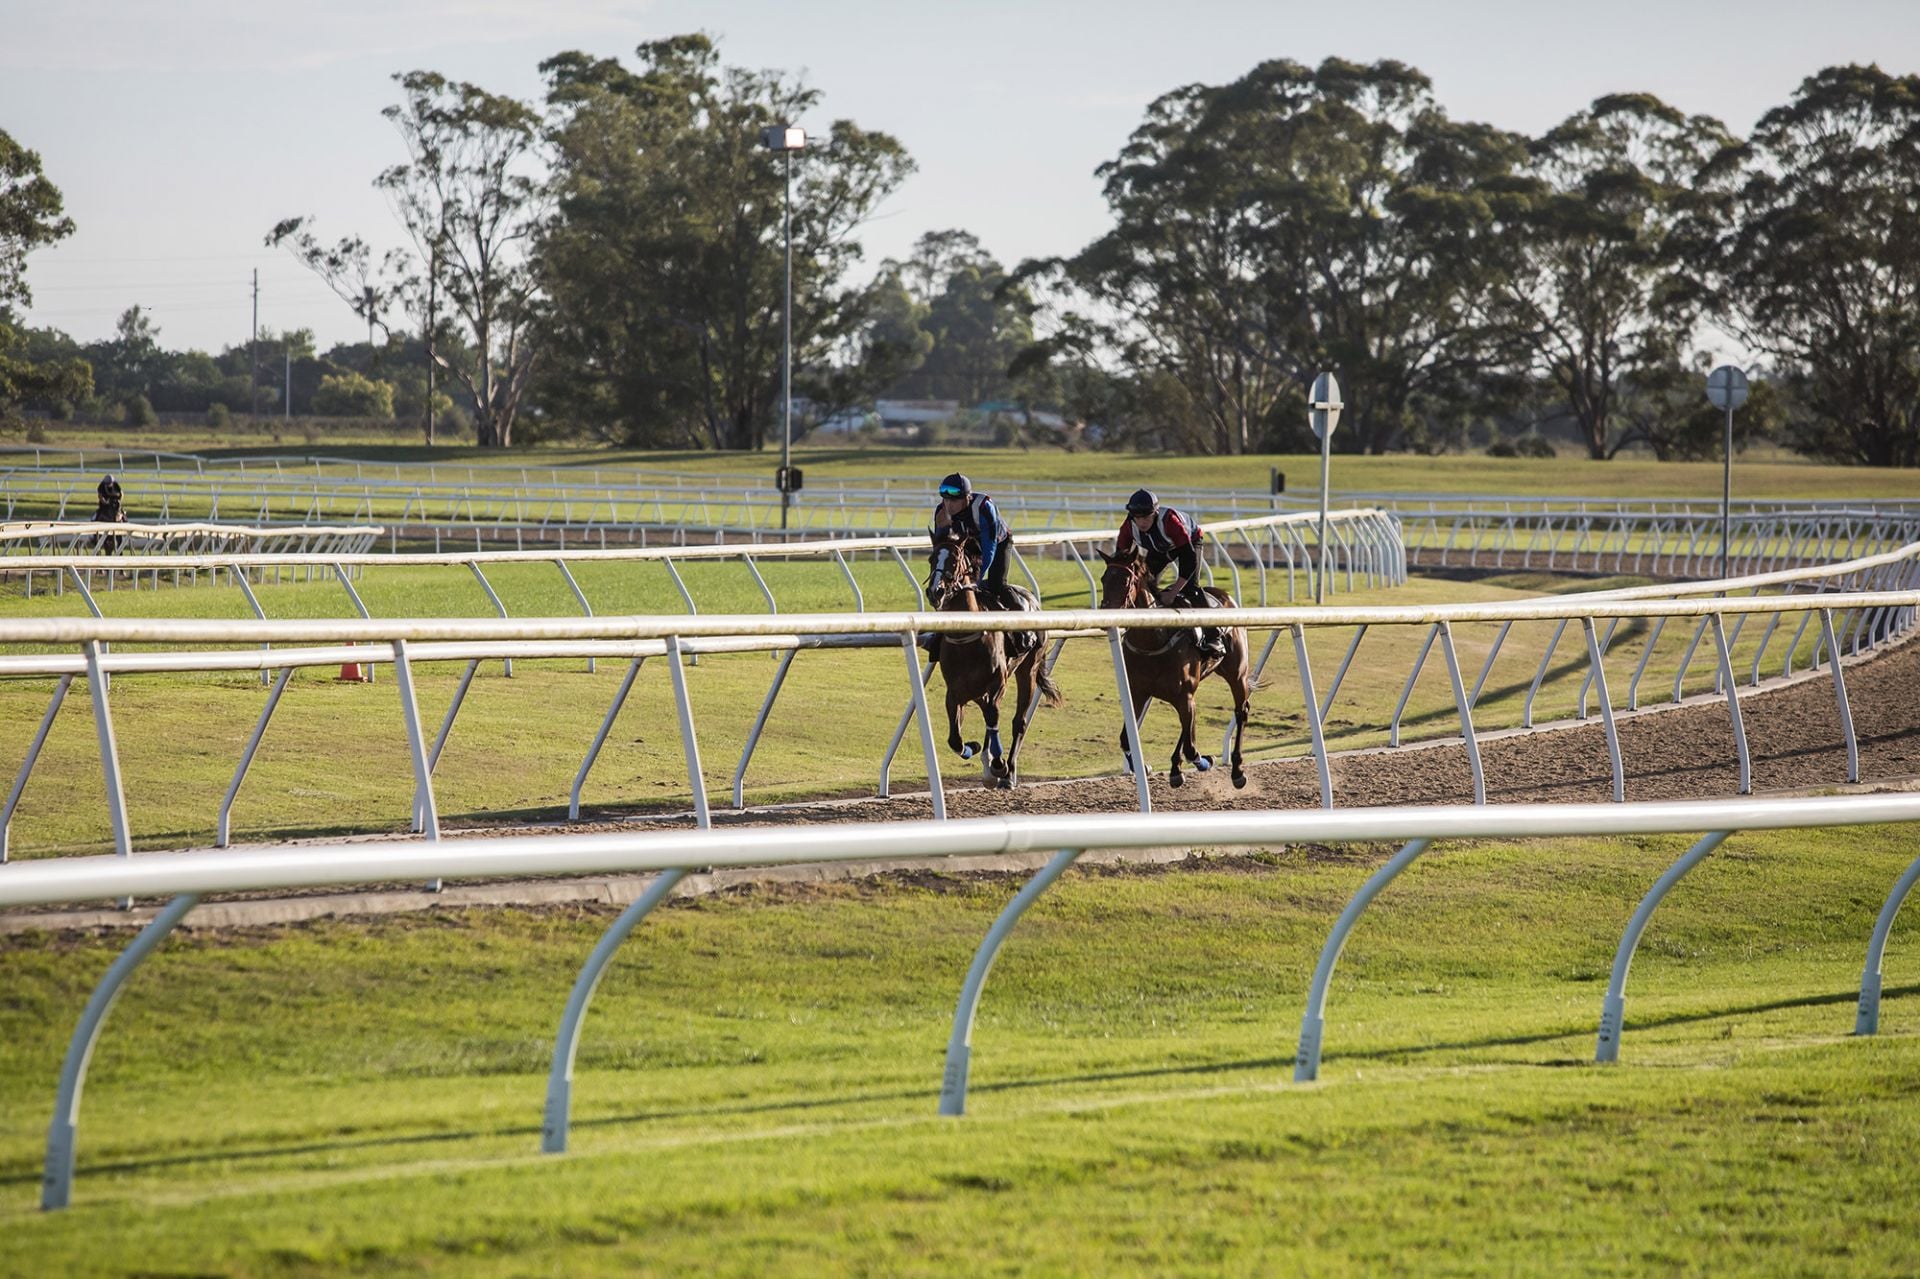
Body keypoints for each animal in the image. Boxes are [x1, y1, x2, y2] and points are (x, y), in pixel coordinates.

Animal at [924, 529, 1063, 789]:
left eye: (954, 561)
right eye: (931, 559)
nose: (935, 592)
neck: (966, 638)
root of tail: (1032, 599)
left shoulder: (998, 683)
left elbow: (993, 715)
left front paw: (998, 765)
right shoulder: (955, 691)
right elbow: (954, 739)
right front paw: (974, 747)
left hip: (1027, 669)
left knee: (1018, 721)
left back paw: (1006, 774)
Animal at [1097, 544, 1255, 790]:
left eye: (1125, 580)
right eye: (1104, 579)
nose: (1106, 612)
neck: (1154, 640)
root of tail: (1225, 596)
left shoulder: (1183, 694)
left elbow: (1191, 748)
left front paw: (1205, 761)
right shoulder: (1139, 693)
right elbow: (1126, 739)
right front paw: (1143, 766)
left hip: (1236, 673)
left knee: (1241, 711)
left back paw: (1237, 770)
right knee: (1188, 723)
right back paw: (1175, 769)